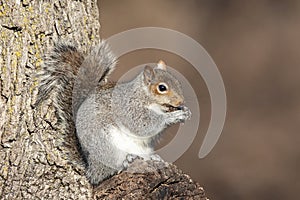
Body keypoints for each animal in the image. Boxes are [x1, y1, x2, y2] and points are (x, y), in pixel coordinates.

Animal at [34, 39, 190, 185]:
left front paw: (185, 112)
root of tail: (91, 169)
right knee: (107, 172)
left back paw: (151, 157)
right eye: (162, 88)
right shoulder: (128, 108)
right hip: (106, 145)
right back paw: (126, 161)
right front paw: (172, 117)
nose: (181, 102)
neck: (144, 97)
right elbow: (142, 125)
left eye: (178, 82)